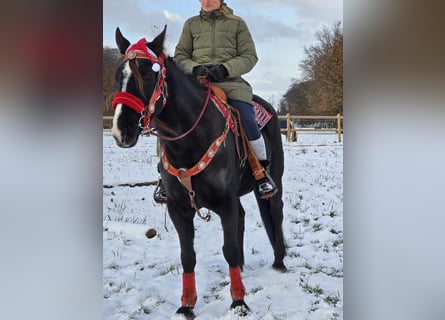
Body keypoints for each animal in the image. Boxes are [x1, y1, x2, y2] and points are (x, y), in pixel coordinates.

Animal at [109, 26, 286, 316]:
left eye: (147, 74)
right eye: (118, 76)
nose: (121, 130)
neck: (191, 140)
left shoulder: (226, 203)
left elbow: (229, 249)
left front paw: (238, 301)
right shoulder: (178, 208)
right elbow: (187, 256)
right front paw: (187, 305)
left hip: (275, 184)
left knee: (275, 214)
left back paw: (280, 261)